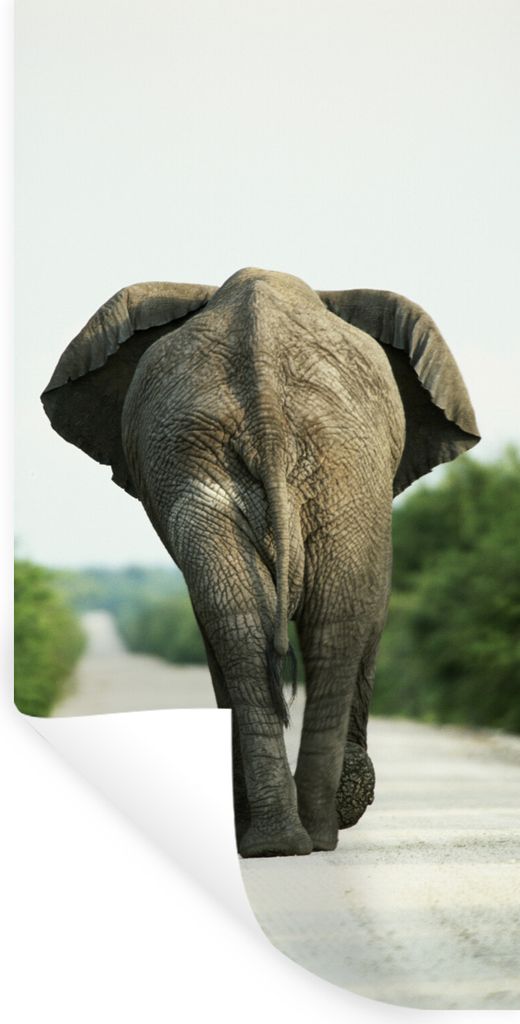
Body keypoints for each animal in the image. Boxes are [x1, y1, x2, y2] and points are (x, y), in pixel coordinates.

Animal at [41, 268, 480, 857]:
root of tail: (266, 402)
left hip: (268, 458)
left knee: (260, 622)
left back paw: (281, 840)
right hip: (304, 461)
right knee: (322, 620)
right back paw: (304, 836)